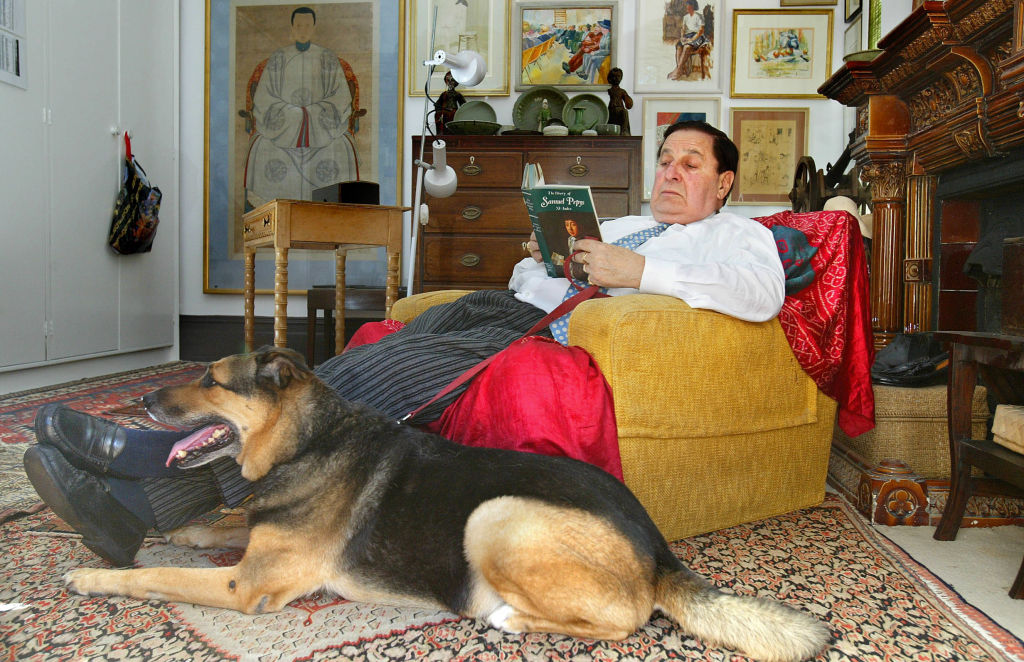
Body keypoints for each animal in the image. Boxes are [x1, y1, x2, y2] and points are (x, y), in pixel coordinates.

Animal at [64, 350, 827, 659]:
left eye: (211, 380)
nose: (142, 399)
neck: (308, 440)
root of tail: (658, 545)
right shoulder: (250, 542)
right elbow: (214, 525)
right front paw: (180, 529)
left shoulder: (244, 585)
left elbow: (155, 577)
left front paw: (92, 574)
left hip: (495, 517)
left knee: (627, 616)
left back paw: (512, 617)